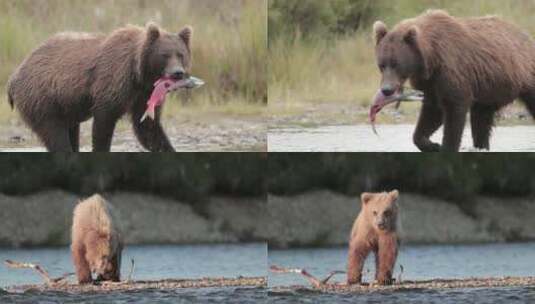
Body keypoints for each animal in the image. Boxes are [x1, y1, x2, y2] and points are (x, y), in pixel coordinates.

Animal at [6, 22, 193, 152]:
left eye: (181, 54)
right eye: (165, 55)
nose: (178, 73)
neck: (139, 73)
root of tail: (14, 76)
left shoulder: (144, 94)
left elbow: (148, 126)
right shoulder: (112, 81)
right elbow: (104, 121)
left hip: (64, 106)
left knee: (70, 131)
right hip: (42, 98)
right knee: (55, 133)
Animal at [374, 10, 535, 152]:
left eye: (396, 64)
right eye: (382, 64)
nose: (386, 89)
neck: (430, 59)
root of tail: (526, 35)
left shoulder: (452, 72)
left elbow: (454, 112)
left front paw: (446, 147)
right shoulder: (431, 83)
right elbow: (432, 112)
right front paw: (432, 145)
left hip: (524, 75)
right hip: (489, 91)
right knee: (481, 119)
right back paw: (481, 145)